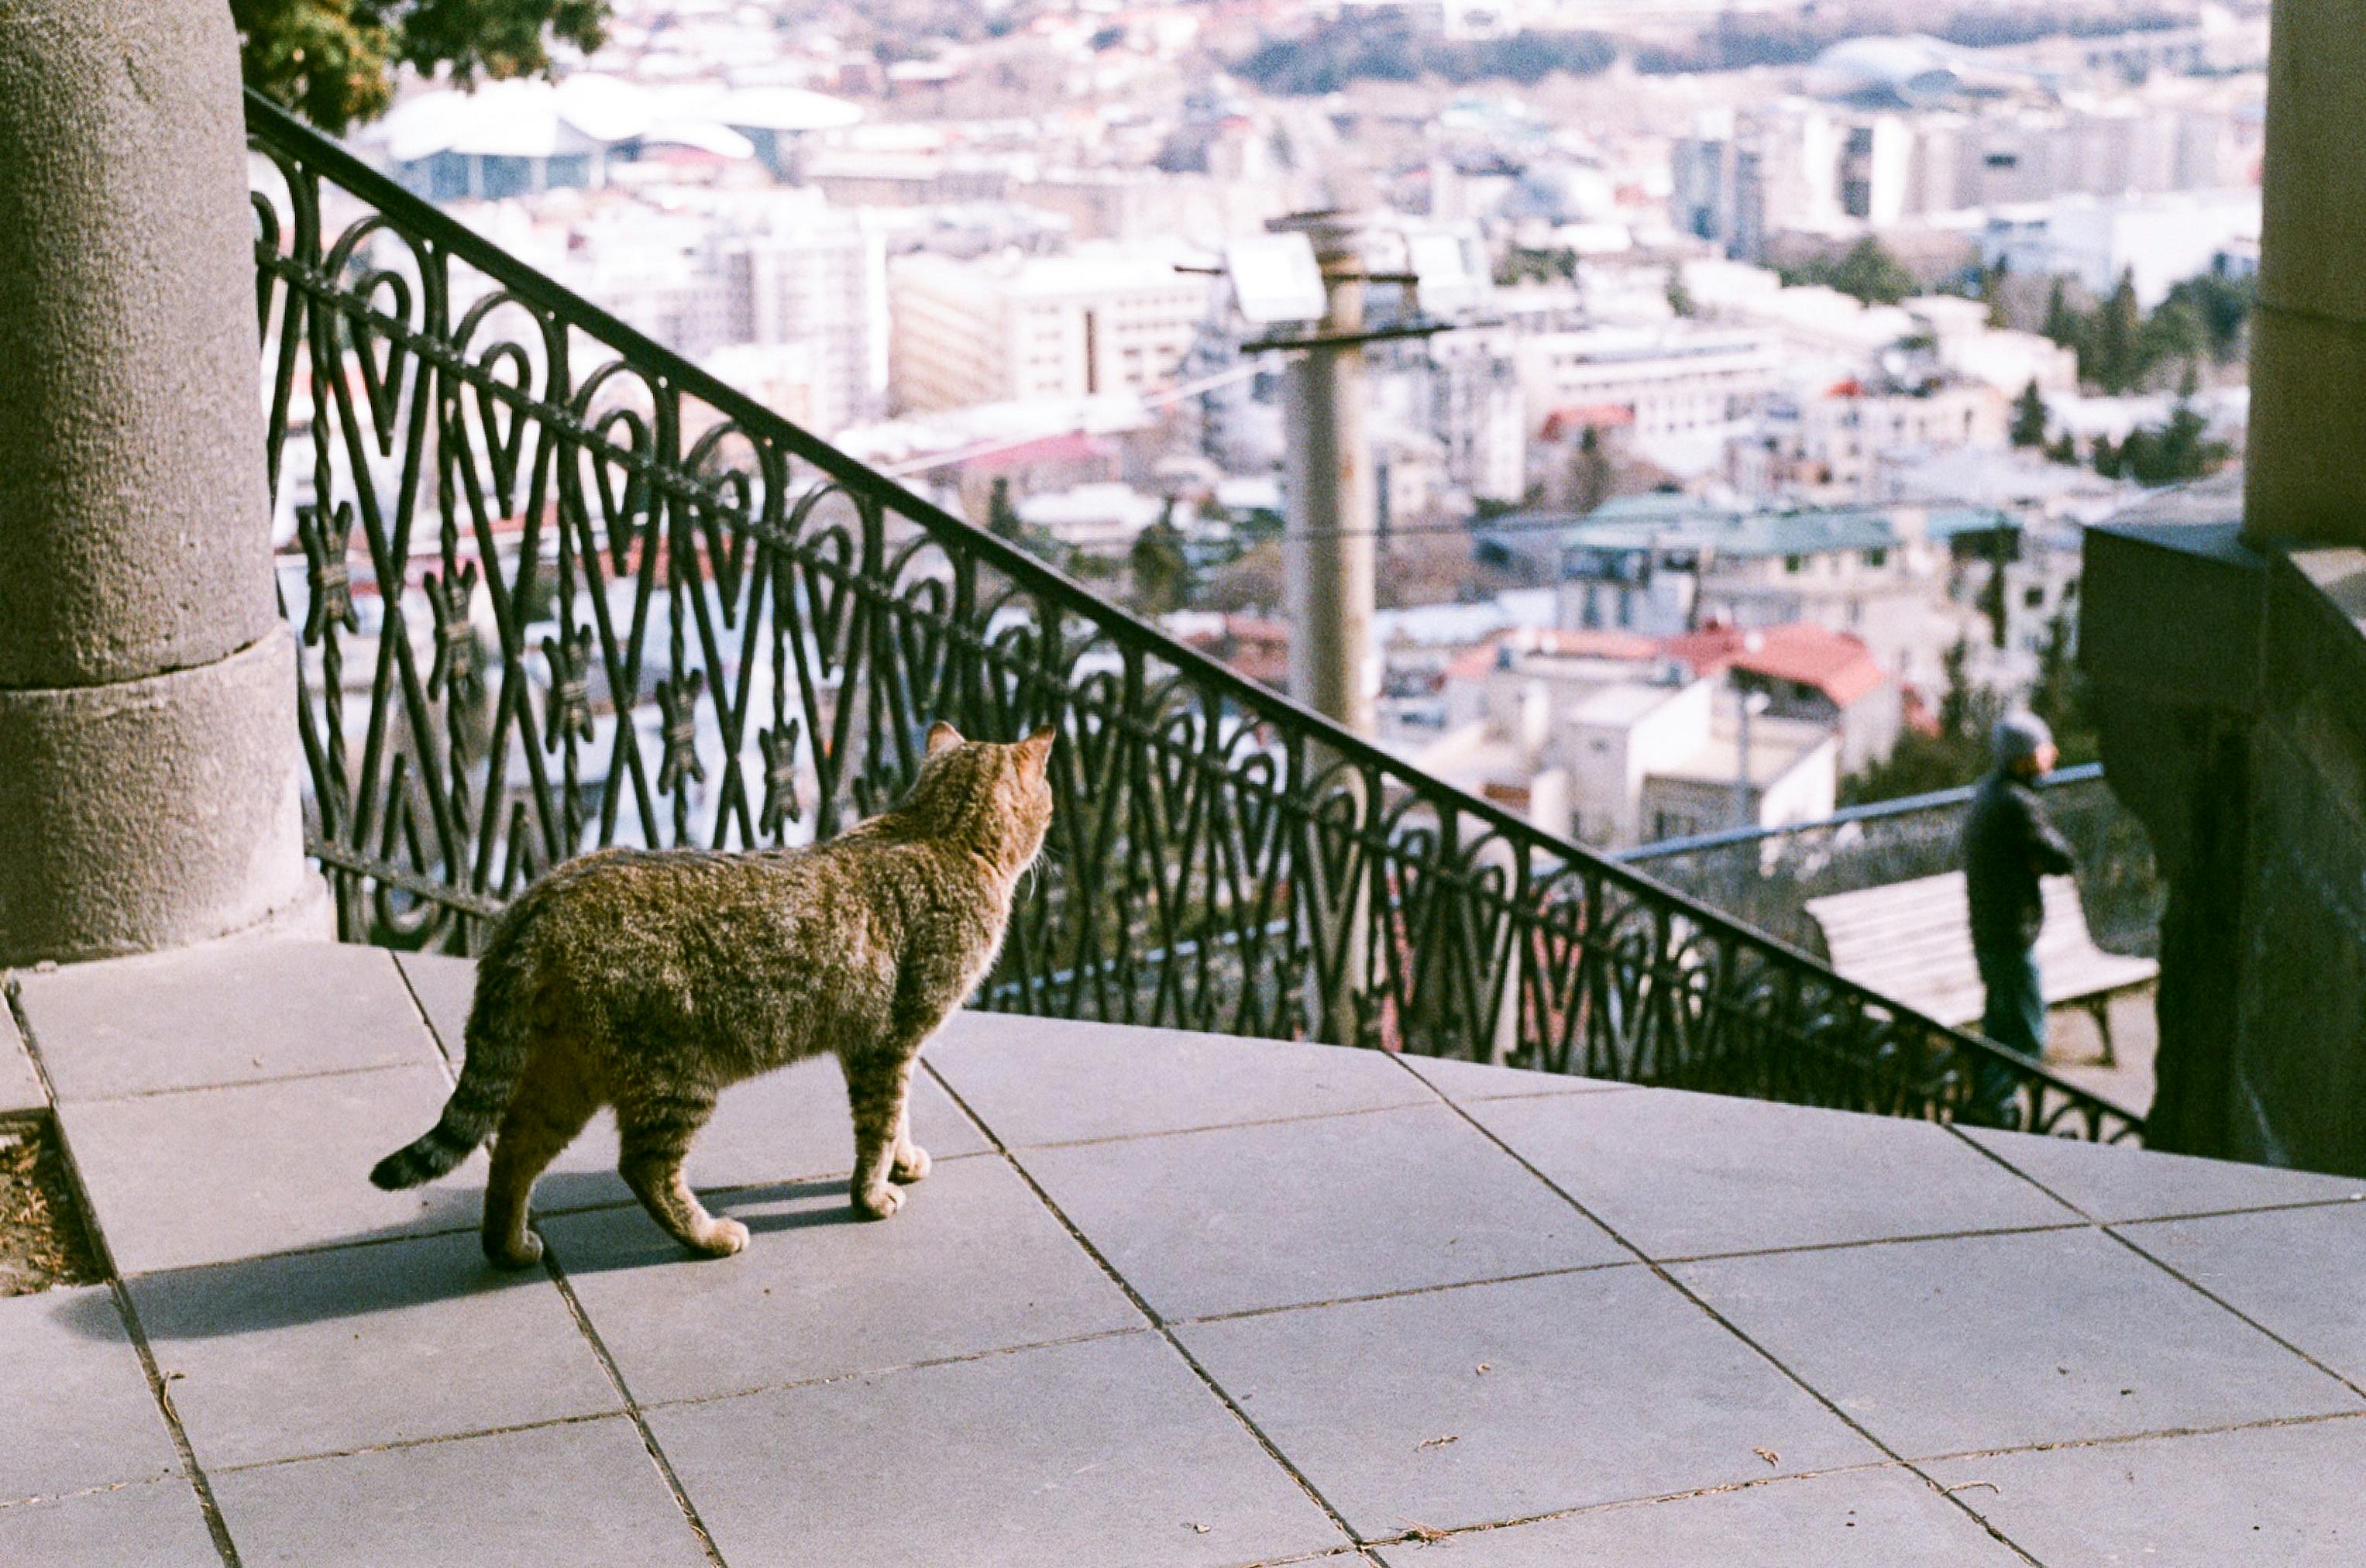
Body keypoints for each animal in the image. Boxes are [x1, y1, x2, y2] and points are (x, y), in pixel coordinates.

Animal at [369, 724, 1055, 1267]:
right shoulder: (887, 1042)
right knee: (642, 1168)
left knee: (511, 1151)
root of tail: (540, 900)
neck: (940, 831)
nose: (1051, 827)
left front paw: (903, 1161)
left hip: (565, 1075)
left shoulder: (889, 1045)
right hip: (674, 1076)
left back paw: (507, 1248)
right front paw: (873, 1194)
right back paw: (709, 1236)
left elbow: (899, 1118)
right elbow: (879, 1126)